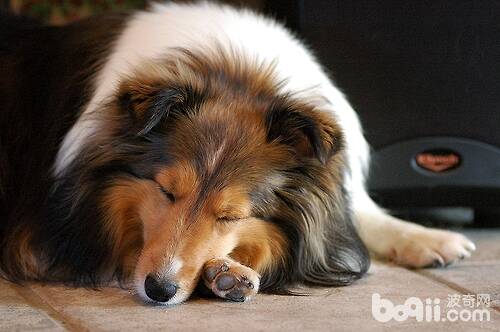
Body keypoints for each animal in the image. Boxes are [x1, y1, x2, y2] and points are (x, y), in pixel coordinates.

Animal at [0, 1, 476, 306]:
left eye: (230, 216)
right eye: (166, 192)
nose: (159, 290)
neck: (237, 70)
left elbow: (365, 215)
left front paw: (427, 237)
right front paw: (222, 274)